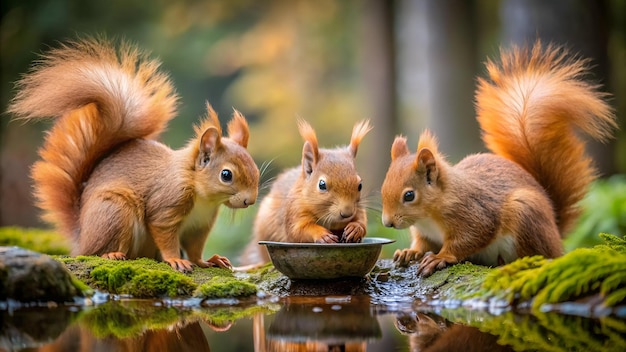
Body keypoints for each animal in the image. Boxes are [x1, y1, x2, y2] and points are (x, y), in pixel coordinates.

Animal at [7, 37, 258, 272]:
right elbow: (165, 235)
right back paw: (111, 254)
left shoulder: (199, 226)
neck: (203, 196)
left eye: (255, 169)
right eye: (226, 175)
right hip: (115, 212)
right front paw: (176, 259)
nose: (250, 200)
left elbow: (195, 249)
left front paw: (207, 261)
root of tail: (81, 237)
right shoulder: (166, 205)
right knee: (98, 251)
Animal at [240, 118, 370, 264]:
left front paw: (355, 228)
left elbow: (362, 221)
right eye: (322, 184)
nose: (347, 213)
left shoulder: (358, 208)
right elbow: (298, 230)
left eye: (360, 185)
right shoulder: (295, 210)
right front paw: (322, 235)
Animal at [380, 41, 616, 276]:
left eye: (409, 195)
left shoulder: (474, 214)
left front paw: (440, 257)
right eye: (382, 189)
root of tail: (555, 233)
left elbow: (468, 239)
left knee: (537, 256)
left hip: (526, 214)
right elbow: (422, 243)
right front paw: (409, 252)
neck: (428, 215)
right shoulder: (425, 233)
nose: (387, 223)